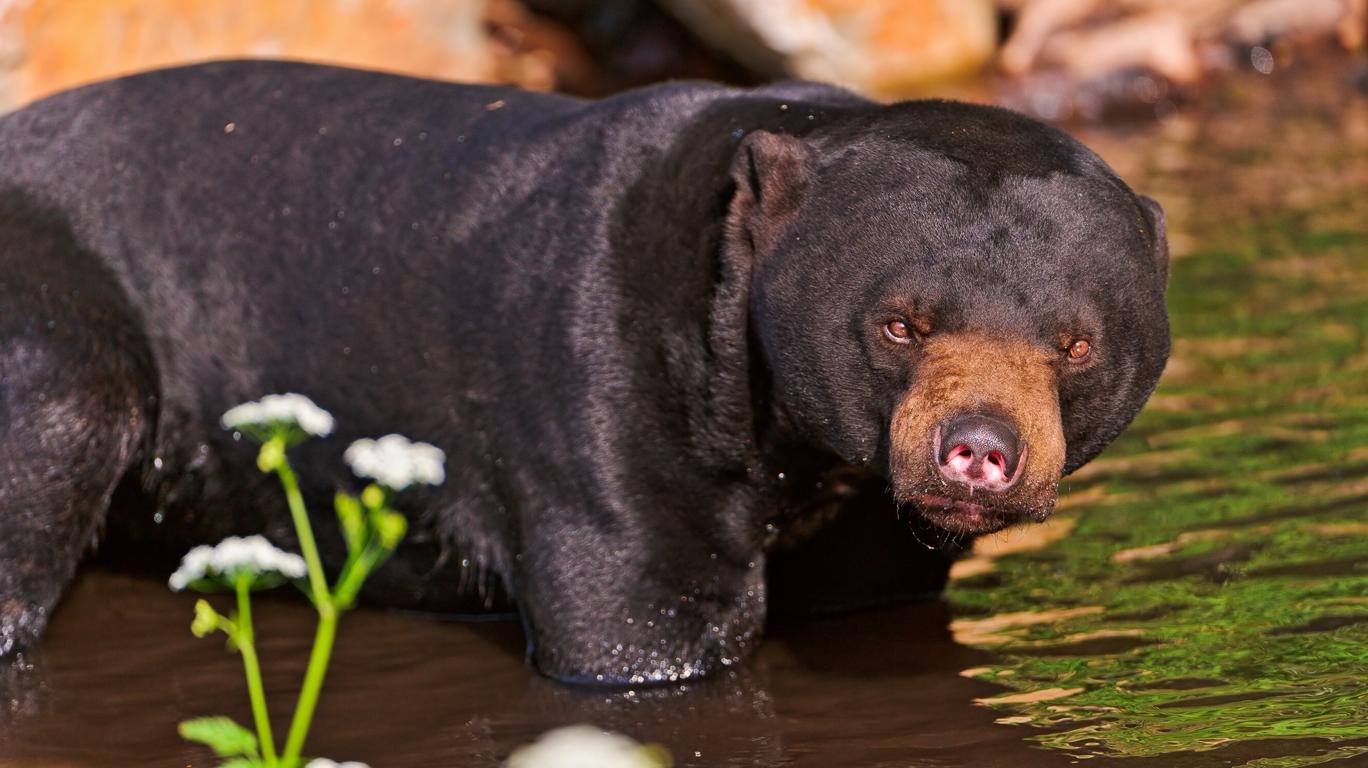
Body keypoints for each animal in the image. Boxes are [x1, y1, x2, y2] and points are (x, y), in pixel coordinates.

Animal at [0, 59, 1171, 681]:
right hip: (52, 322)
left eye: (1075, 342)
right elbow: (635, 627)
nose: (976, 452)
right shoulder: (607, 399)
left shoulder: (869, 528)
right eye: (897, 324)